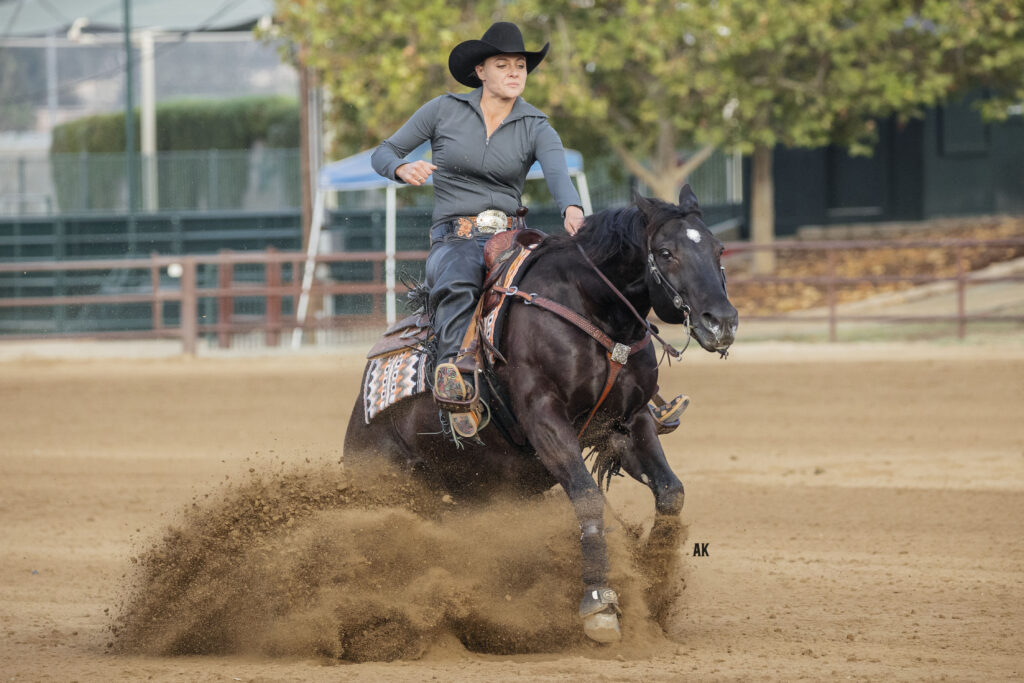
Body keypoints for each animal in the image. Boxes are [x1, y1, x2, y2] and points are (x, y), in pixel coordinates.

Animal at [344, 185, 737, 643]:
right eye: (666, 252)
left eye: (718, 248)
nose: (722, 322)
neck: (592, 308)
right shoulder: (545, 419)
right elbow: (587, 498)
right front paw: (599, 604)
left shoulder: (628, 421)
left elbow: (671, 491)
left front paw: (654, 586)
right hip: (379, 479)